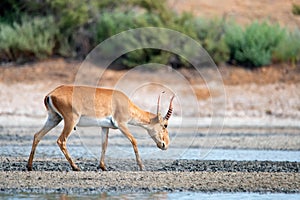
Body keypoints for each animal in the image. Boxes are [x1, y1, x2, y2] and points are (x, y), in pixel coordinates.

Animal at [27, 85, 176, 171]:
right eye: (165, 125)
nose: (165, 145)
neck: (124, 103)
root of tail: (51, 93)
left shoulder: (105, 127)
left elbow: (104, 144)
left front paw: (103, 166)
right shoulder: (122, 125)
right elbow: (134, 140)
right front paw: (141, 166)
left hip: (54, 119)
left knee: (37, 135)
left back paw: (29, 166)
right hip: (70, 121)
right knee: (61, 140)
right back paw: (76, 167)